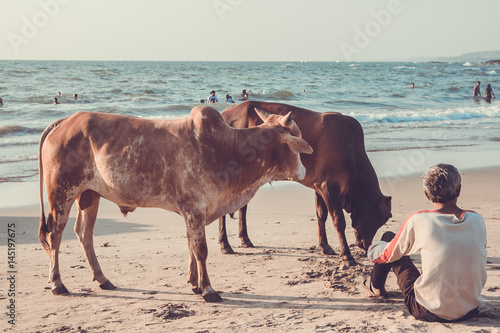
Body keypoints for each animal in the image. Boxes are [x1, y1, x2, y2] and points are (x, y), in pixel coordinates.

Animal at [39, 106, 310, 300]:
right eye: (296, 139)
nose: (304, 171)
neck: (226, 150)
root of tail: (64, 121)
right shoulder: (194, 209)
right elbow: (200, 250)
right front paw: (208, 290)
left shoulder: (192, 212)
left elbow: (191, 245)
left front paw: (194, 284)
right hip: (61, 193)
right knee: (54, 234)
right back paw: (57, 284)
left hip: (89, 195)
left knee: (84, 233)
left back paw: (103, 279)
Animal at [221, 101, 392, 264]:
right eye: (381, 218)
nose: (365, 245)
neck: (352, 152)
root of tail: (225, 113)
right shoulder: (329, 186)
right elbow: (338, 220)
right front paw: (347, 256)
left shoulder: (319, 186)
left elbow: (321, 215)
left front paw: (325, 246)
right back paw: (225, 245)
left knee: (242, 207)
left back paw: (245, 240)